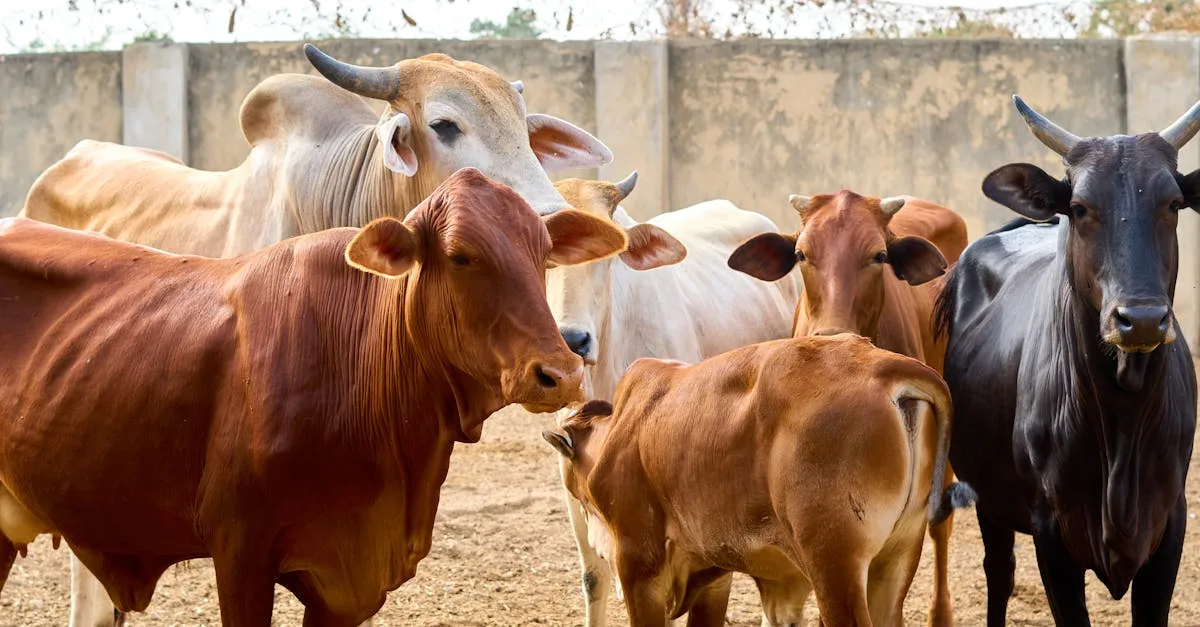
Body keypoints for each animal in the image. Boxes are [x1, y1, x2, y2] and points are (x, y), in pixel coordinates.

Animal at [542, 333, 970, 627]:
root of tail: (880, 369)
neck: (627, 426)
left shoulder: (639, 568)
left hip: (836, 566)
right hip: (897, 557)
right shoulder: (716, 576)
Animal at [933, 95, 1200, 625]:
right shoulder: (1051, 533)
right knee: (1000, 573)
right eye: (1080, 208)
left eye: (1174, 204)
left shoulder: (1169, 526)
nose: (1141, 320)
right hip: (988, 497)